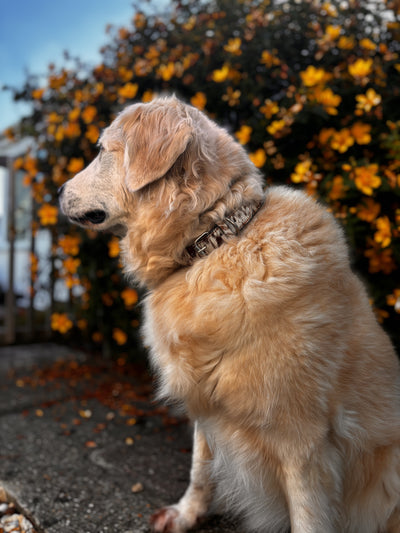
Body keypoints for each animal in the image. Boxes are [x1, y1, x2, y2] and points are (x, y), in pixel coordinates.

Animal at [59, 96, 400, 532]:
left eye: (102, 151)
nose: (57, 191)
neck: (215, 242)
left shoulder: (302, 439)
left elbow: (307, 515)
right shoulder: (208, 405)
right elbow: (200, 469)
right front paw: (186, 515)